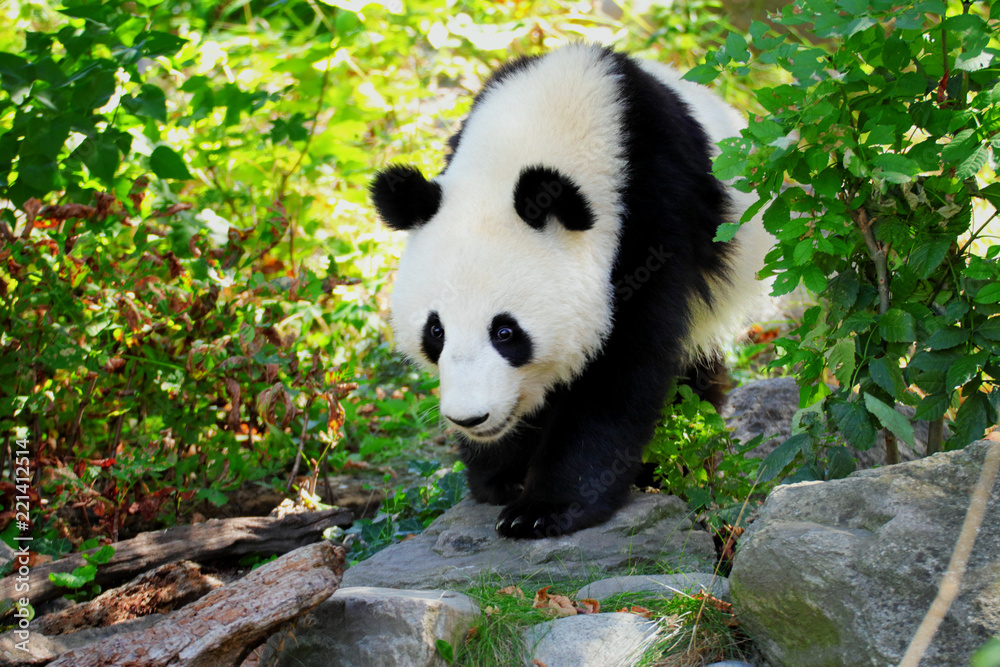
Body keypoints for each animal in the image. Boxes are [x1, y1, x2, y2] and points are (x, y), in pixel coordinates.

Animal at [370, 43, 770, 539]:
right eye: (436, 331)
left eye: (505, 333)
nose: (470, 418)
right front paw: (501, 476)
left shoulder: (652, 218)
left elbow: (622, 368)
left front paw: (544, 508)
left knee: (694, 371)